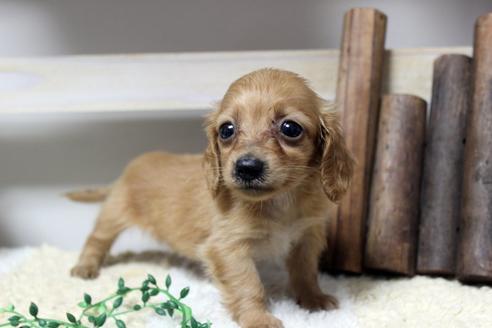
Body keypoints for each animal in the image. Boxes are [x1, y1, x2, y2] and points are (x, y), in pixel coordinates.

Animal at [70, 68, 354, 326]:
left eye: (290, 128)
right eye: (227, 130)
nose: (247, 167)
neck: (280, 202)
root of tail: (129, 169)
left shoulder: (307, 237)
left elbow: (305, 272)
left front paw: (313, 299)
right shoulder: (229, 248)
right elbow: (248, 285)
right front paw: (257, 318)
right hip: (114, 214)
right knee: (96, 239)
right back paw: (85, 268)